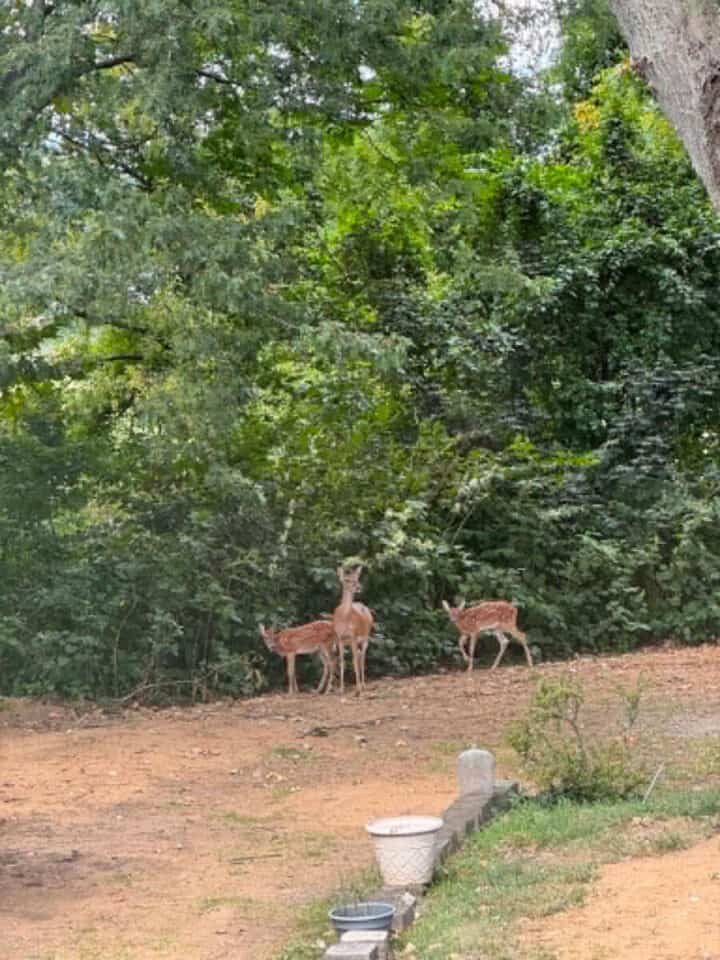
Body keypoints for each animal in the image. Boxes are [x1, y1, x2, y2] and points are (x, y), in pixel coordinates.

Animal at [333, 565, 374, 694]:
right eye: (346, 580)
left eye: (357, 578)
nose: (358, 587)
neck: (344, 617)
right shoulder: (339, 638)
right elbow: (342, 662)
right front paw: (341, 689)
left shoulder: (353, 636)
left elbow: (354, 661)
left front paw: (358, 688)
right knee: (359, 656)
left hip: (366, 637)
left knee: (362, 658)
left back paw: (363, 685)